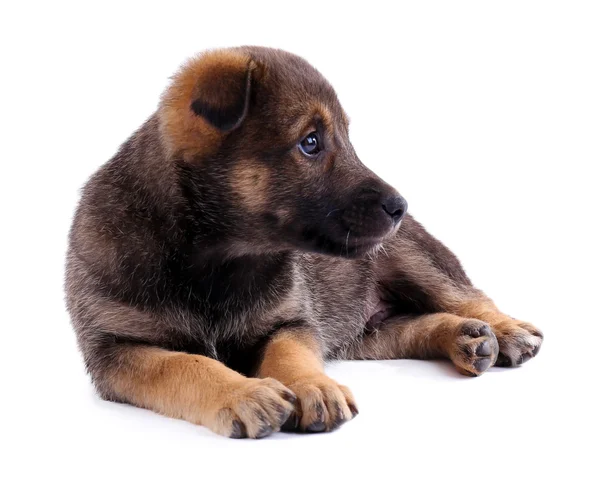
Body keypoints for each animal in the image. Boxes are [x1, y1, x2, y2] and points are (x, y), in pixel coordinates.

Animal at [65, 46, 544, 438]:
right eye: (310, 142)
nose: (400, 206)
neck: (218, 262)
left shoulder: (290, 320)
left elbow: (289, 354)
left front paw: (314, 386)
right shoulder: (118, 349)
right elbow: (186, 364)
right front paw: (243, 393)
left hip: (413, 260)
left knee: (467, 295)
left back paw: (505, 330)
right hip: (367, 333)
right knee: (412, 327)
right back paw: (464, 337)